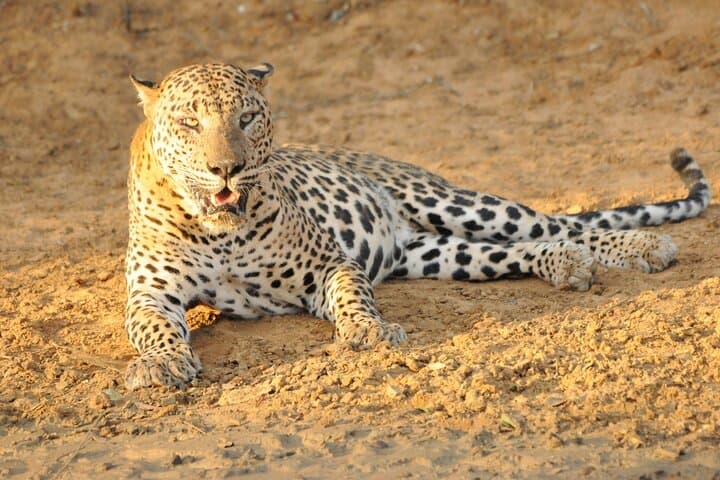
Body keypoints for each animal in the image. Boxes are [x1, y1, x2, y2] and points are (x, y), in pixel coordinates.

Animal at [123, 62, 711, 390]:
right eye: (188, 122)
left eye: (246, 118)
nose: (226, 167)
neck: (218, 229)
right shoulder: (150, 294)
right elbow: (153, 328)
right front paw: (162, 365)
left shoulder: (330, 265)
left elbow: (354, 299)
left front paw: (370, 331)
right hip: (435, 255)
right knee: (522, 249)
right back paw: (567, 265)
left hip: (454, 202)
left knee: (555, 224)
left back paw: (642, 245)